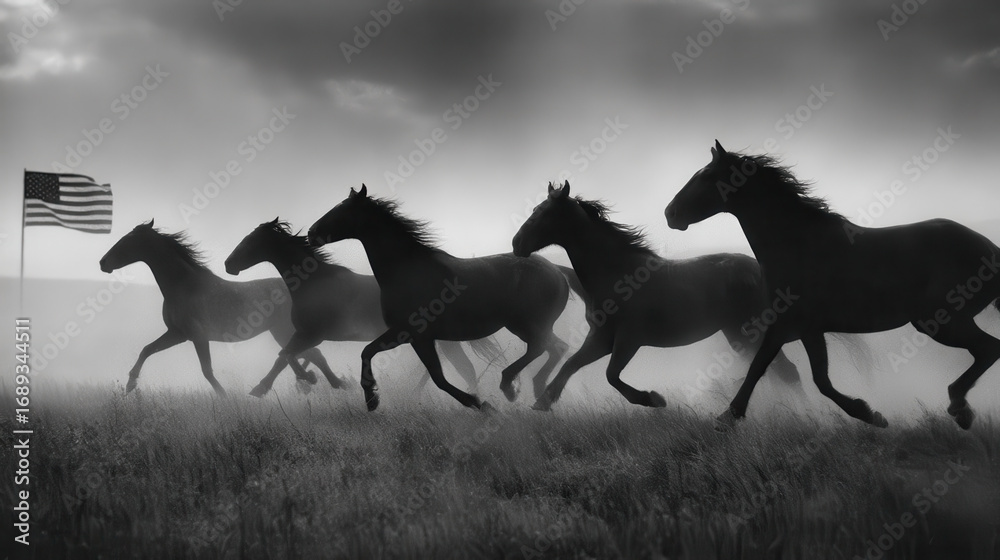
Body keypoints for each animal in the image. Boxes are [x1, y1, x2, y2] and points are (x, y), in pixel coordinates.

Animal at [99, 220, 335, 395]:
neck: (184, 286)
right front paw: (130, 384)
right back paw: (318, 381)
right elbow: (147, 349)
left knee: (302, 355)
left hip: (283, 330)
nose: (103, 263)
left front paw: (225, 397)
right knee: (302, 355)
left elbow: (207, 371)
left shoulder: (198, 336)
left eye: (127, 241)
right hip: (284, 331)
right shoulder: (177, 334)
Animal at [224, 218, 502, 397]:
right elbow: (287, 357)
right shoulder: (304, 334)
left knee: (465, 369)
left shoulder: (312, 334)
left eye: (250, 242)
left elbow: (287, 356)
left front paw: (301, 380)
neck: (312, 283)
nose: (228, 264)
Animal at [307, 185, 576, 412]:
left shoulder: (412, 333)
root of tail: (557, 270)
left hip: (525, 324)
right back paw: (540, 395)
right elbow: (429, 374)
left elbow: (433, 377)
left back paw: (511, 387)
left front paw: (372, 399)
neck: (406, 270)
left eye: (342, 211)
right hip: (529, 326)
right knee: (556, 347)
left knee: (542, 347)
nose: (311, 232)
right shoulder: (414, 336)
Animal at [512, 181, 808, 411]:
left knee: (787, 372)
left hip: (752, 331)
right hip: (738, 334)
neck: (617, 274)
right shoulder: (600, 338)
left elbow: (611, 375)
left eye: (543, 213)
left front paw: (653, 399)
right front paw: (542, 402)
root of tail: (760, 270)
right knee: (778, 372)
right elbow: (570, 365)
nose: (517, 244)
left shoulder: (628, 339)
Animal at [666, 140, 1000, 430]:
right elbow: (792, 373)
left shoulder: (795, 325)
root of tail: (990, 248)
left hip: (939, 321)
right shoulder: (796, 328)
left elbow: (786, 373)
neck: (798, 245)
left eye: (706, 176)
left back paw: (960, 409)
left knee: (989, 349)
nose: (670, 213)